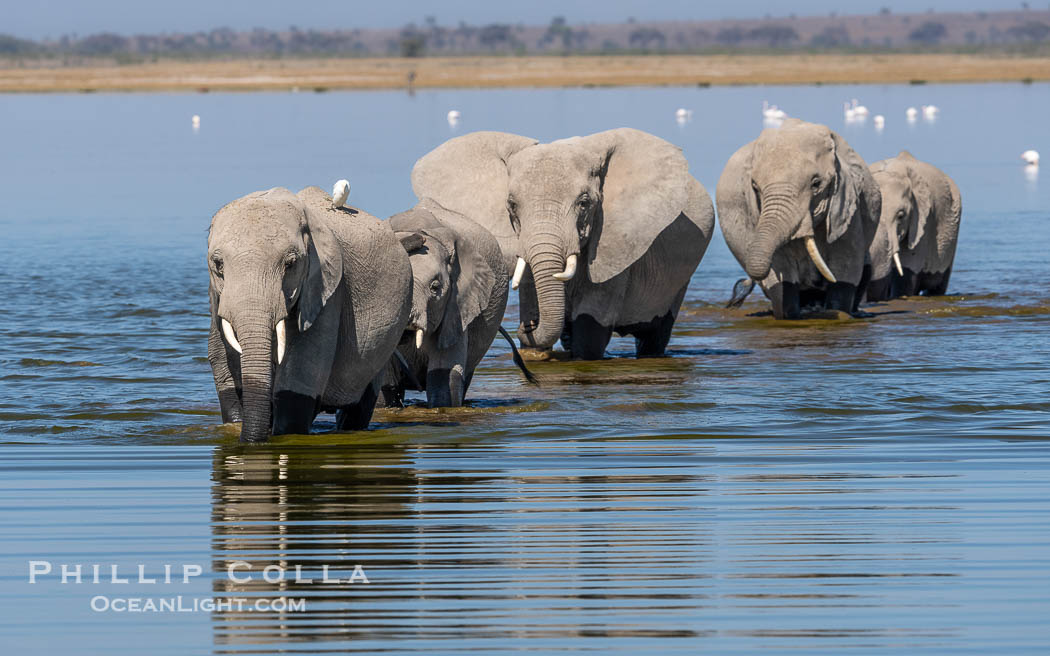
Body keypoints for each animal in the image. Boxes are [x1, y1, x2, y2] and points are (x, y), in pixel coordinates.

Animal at [206, 185, 411, 440]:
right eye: (218, 264)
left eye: (291, 264)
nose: (251, 442)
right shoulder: (216, 297)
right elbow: (222, 358)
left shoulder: (328, 289)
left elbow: (302, 369)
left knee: (360, 404)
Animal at [409, 126, 713, 358]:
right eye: (511, 205)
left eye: (584, 203)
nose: (527, 326)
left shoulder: (616, 243)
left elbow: (589, 334)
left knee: (656, 335)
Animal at [718, 121, 881, 321]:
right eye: (755, 186)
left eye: (816, 183)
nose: (738, 290)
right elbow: (781, 270)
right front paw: (789, 315)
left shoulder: (847, 207)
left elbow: (846, 264)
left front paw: (838, 313)